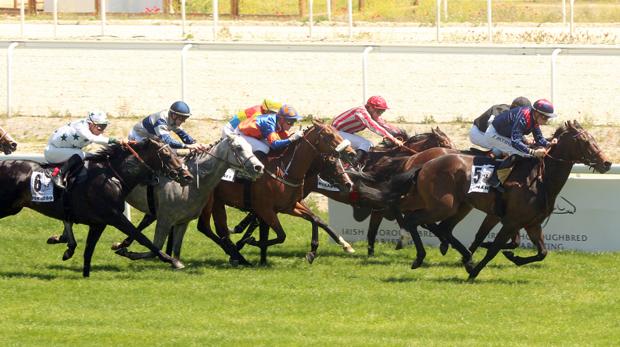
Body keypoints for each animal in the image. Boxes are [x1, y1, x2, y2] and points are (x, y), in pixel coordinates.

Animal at [0, 139, 193, 278]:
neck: (114, 175)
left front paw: (85, 275)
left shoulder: (99, 223)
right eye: (166, 154)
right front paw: (173, 261)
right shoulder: (114, 217)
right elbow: (143, 238)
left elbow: (88, 251)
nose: (187, 175)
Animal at [47, 135, 262, 266]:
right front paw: (127, 251)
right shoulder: (165, 219)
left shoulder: (182, 221)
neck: (192, 182)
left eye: (250, 146)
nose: (258, 167)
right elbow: (155, 247)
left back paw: (65, 241)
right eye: (238, 147)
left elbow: (175, 251)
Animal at [196, 121, 356, 266]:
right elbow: (279, 235)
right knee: (208, 228)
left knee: (216, 229)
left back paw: (237, 256)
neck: (285, 170)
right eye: (329, 135)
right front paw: (251, 243)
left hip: (218, 201)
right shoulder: (265, 209)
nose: (351, 153)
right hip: (210, 201)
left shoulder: (289, 206)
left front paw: (321, 250)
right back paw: (238, 256)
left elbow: (316, 219)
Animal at [358, 120, 612, 280]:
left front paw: (511, 258)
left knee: (437, 225)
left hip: (455, 205)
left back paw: (456, 253)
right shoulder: (510, 221)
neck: (539, 178)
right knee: (412, 218)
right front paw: (475, 270)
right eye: (585, 141)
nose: (607, 163)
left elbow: (541, 252)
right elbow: (494, 248)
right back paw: (420, 256)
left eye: (593, 139)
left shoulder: (530, 223)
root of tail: (423, 163)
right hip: (442, 205)